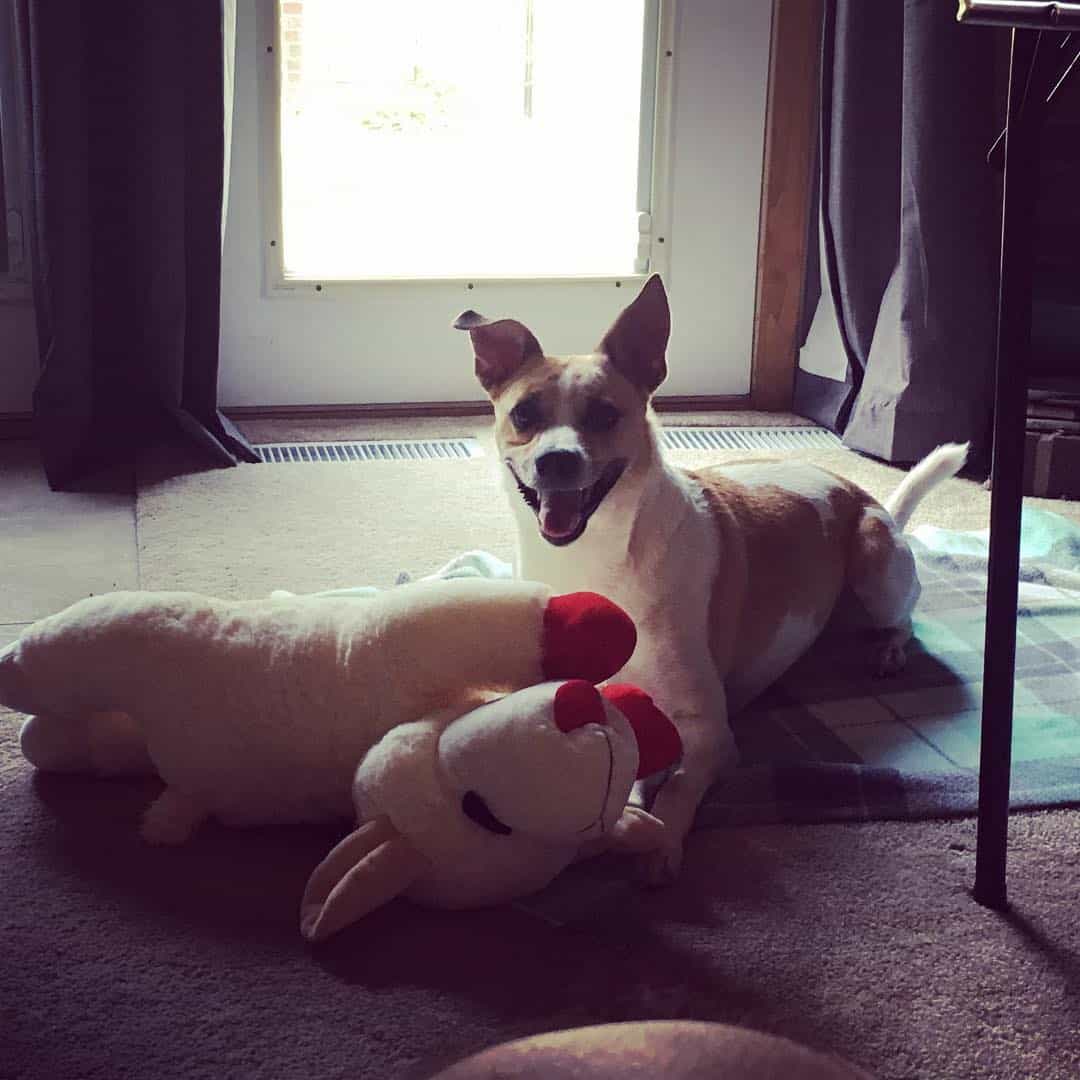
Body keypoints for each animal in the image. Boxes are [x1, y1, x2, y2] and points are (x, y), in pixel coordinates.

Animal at [451, 274, 967, 881]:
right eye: (525, 415)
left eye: (604, 414)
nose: (557, 461)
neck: (595, 560)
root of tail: (871, 498)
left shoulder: (706, 730)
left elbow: (675, 785)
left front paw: (658, 841)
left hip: (875, 565)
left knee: (905, 616)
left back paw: (888, 650)